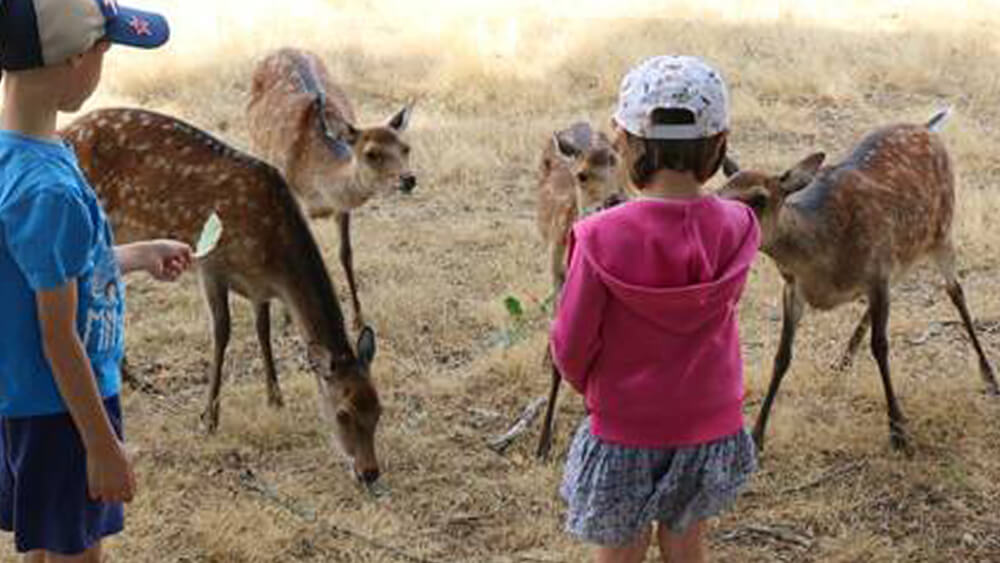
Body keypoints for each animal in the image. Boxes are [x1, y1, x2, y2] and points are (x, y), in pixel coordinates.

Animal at [60, 109, 384, 484]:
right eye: (343, 413)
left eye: (379, 409)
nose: (369, 472)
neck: (274, 256)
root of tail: (64, 130)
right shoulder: (211, 265)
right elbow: (222, 332)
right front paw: (209, 418)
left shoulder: (259, 288)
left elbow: (263, 331)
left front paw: (275, 398)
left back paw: (132, 377)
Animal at [248, 49, 416, 330]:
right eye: (371, 153)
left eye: (406, 148)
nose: (408, 179)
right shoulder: (292, 199)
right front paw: (288, 316)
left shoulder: (342, 208)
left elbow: (345, 254)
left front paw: (358, 318)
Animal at [716, 109, 996, 454]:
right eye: (718, 194)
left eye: (759, 198)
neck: (820, 260)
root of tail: (928, 127)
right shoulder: (794, 287)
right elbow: (782, 356)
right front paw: (757, 436)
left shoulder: (876, 270)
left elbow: (881, 346)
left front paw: (899, 432)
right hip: (902, 251)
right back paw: (845, 358)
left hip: (942, 231)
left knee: (956, 293)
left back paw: (989, 376)